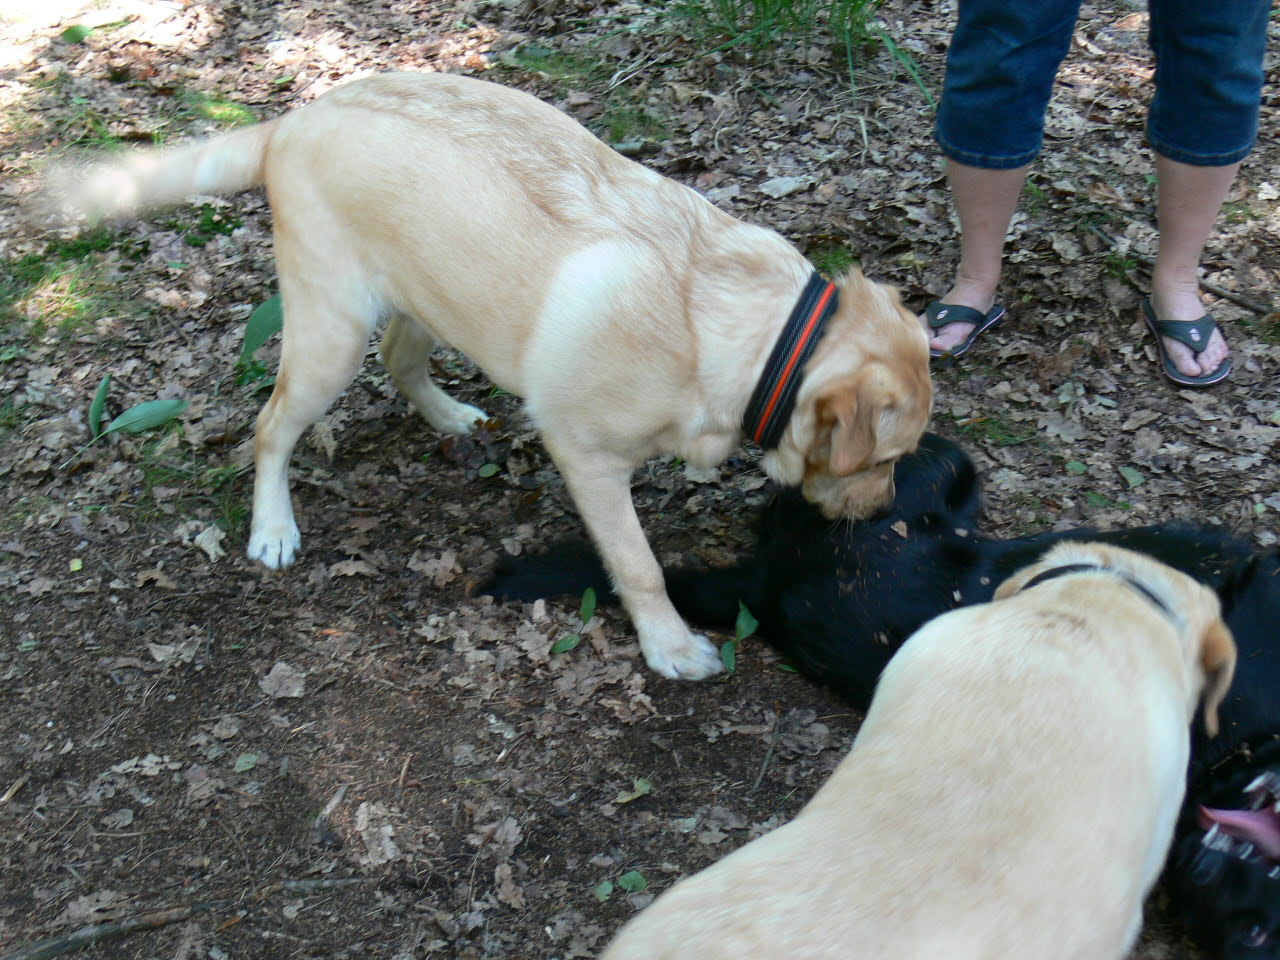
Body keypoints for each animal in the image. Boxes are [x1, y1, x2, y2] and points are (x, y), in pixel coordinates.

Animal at [55, 71, 931, 680]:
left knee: (400, 361)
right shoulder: (588, 457)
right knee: (271, 427)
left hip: (433, 296)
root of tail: (294, 119)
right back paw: (273, 527)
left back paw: (451, 418)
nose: (884, 509)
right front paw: (671, 646)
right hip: (331, 334)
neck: (761, 336)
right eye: (887, 459)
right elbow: (640, 566)